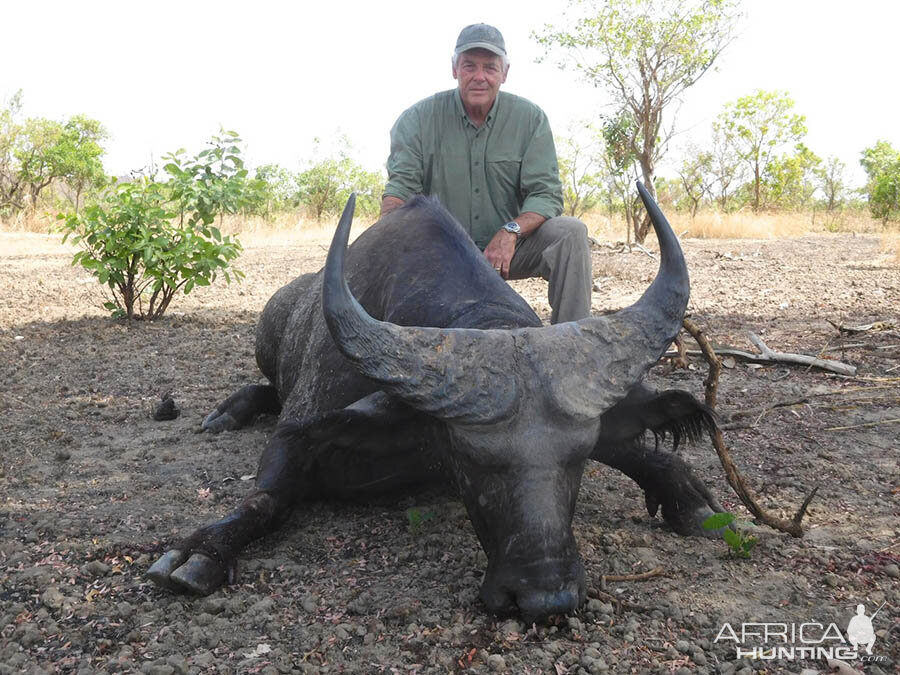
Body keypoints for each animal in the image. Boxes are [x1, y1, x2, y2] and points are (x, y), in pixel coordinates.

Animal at [148, 181, 724, 624]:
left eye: (578, 457)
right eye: (471, 458)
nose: (545, 597)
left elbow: (630, 447)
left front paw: (685, 491)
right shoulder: (299, 436)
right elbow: (263, 499)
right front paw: (199, 554)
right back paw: (226, 412)